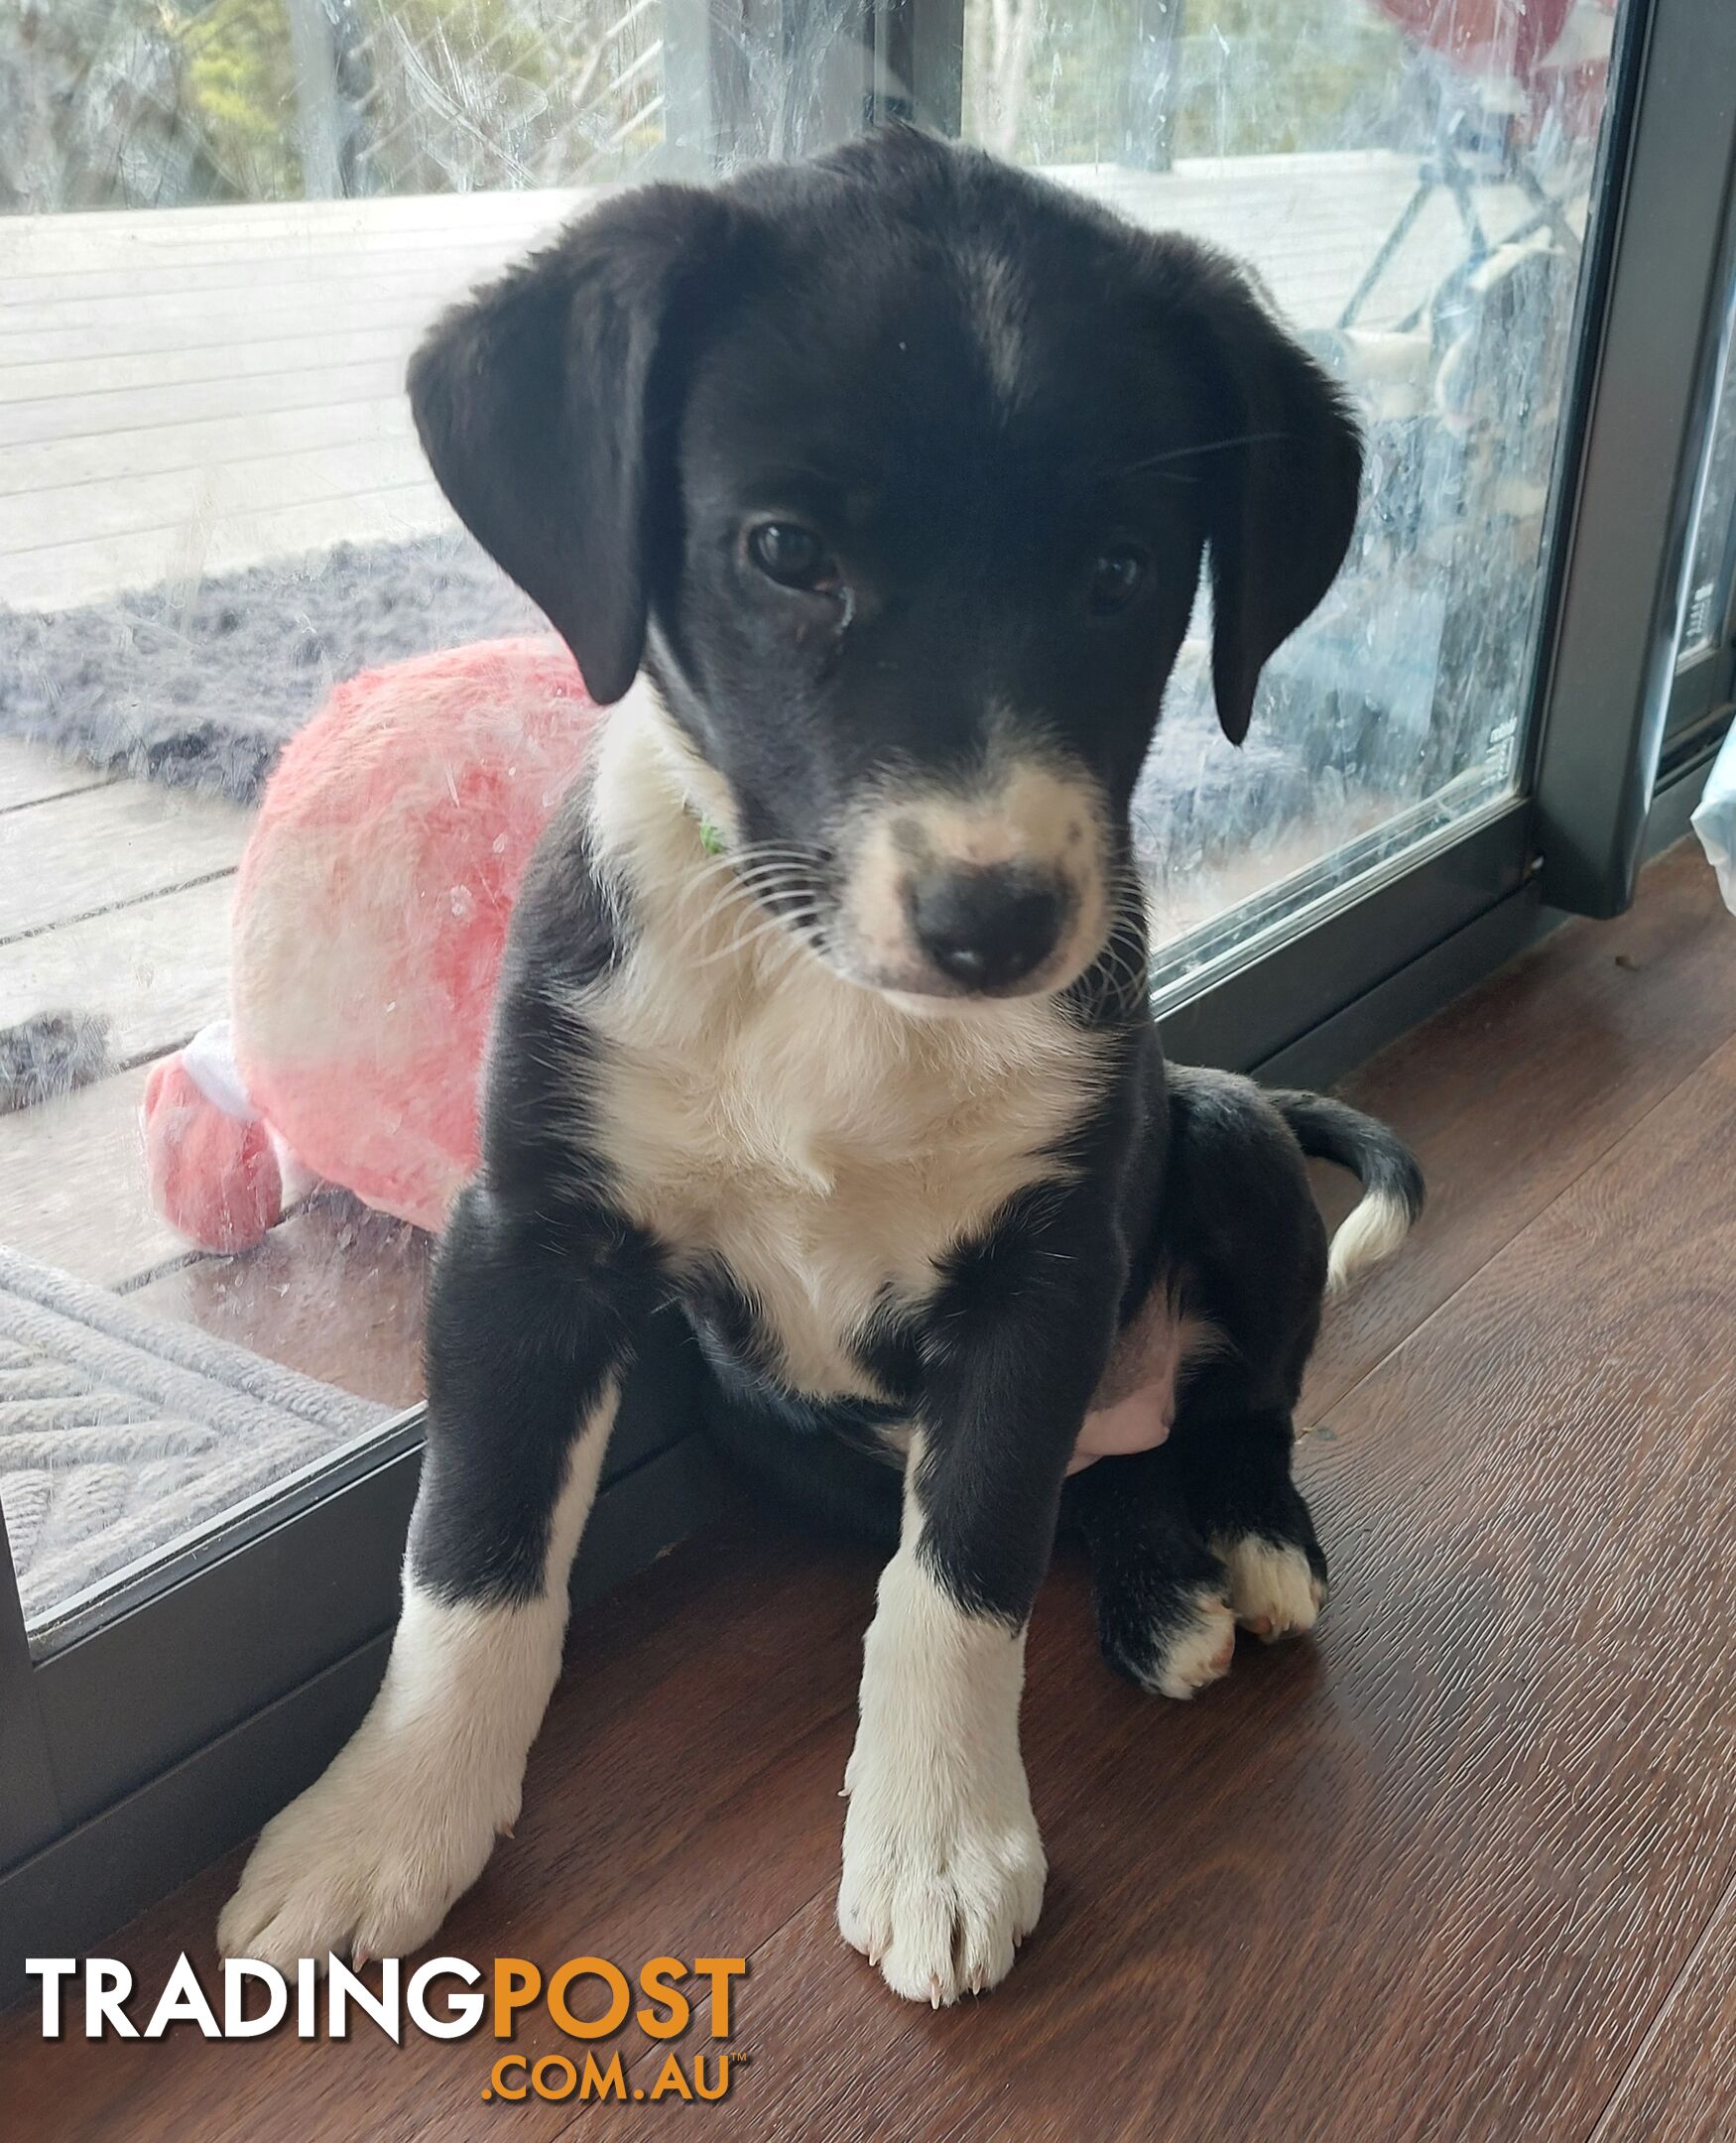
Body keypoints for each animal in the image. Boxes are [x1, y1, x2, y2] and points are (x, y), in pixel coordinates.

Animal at [219, 125, 1423, 2005]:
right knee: (1087, 1489)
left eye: (1122, 573)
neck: (821, 988)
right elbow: (470, 1553)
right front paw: (385, 1822)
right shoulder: (525, 1242)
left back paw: (1239, 1543)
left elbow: (962, 1576)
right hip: (774, 1433)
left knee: (1223, 1412)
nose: (998, 923)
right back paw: (1158, 1584)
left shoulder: (1040, 1278)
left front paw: (937, 1839)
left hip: (1218, 1134)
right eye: (783, 550)